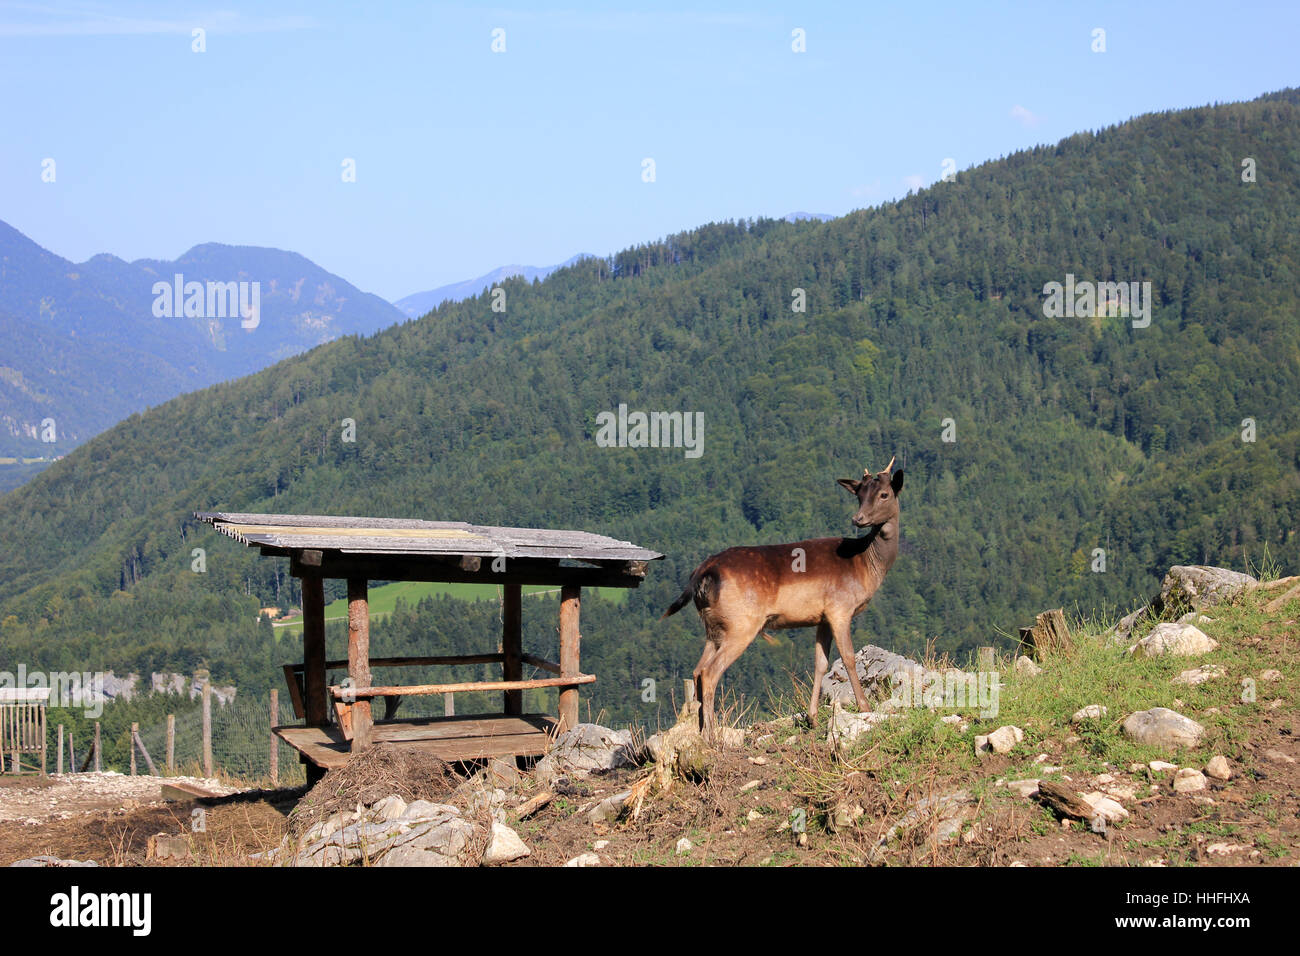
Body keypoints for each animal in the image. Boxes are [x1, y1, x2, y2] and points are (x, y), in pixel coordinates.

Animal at [660, 460, 904, 738]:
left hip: (714, 627)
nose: (858, 518)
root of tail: (702, 572)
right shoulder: (840, 608)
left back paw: (702, 732)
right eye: (859, 495)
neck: (865, 565)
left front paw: (812, 718)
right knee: (710, 672)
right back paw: (712, 736)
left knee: (697, 670)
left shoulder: (822, 617)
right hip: (741, 624)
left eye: (883, 494)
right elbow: (849, 657)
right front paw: (864, 707)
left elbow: (821, 663)